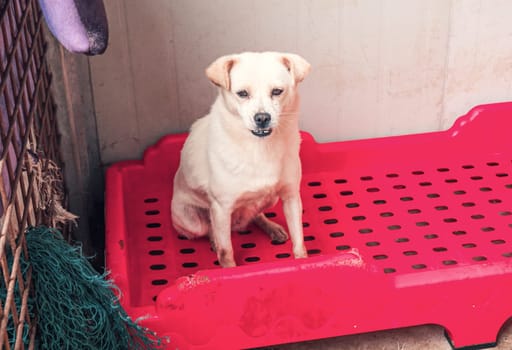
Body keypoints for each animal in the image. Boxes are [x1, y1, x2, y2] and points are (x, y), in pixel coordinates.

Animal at [170, 50, 310, 266]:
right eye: (242, 93)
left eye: (277, 91)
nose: (262, 118)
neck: (259, 147)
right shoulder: (221, 208)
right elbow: (226, 251)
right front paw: (228, 268)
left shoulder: (291, 196)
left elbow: (299, 239)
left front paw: (303, 261)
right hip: (193, 222)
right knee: (209, 228)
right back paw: (213, 240)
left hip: (269, 199)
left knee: (256, 214)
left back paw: (272, 228)